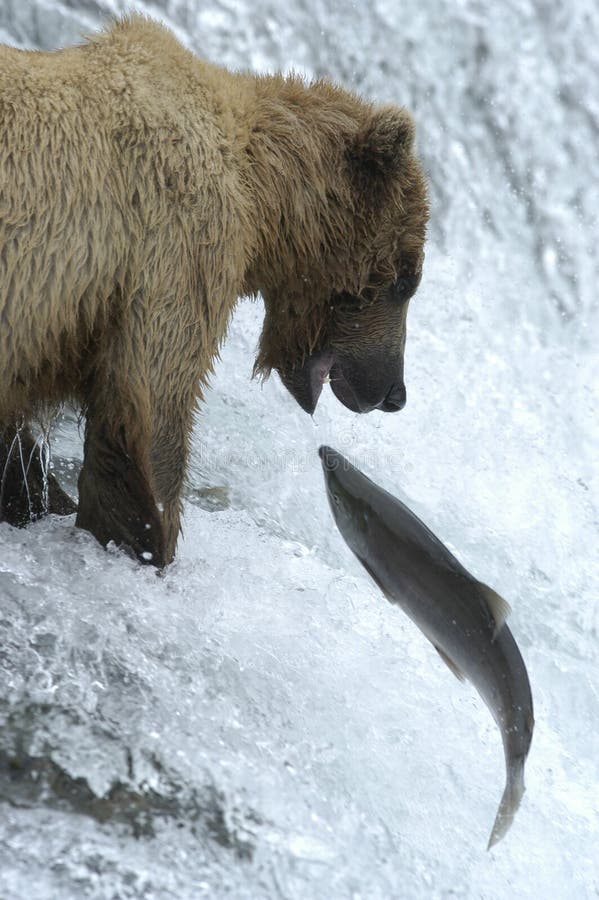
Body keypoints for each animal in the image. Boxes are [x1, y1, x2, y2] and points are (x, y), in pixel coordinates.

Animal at [1, 14, 432, 568]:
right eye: (405, 280)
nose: (394, 392)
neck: (261, 196)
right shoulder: (174, 244)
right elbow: (148, 416)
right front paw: (145, 541)